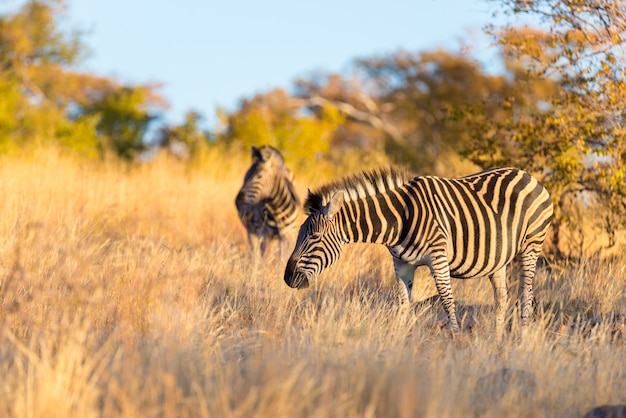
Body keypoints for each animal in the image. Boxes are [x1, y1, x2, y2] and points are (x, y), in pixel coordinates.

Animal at [282, 167, 552, 334]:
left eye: (314, 237)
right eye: (299, 234)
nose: (287, 278)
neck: (399, 218)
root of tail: (528, 175)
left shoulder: (438, 257)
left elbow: (447, 299)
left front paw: (455, 340)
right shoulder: (402, 264)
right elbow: (402, 303)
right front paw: (396, 341)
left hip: (531, 246)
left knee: (526, 295)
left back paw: (521, 340)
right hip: (499, 259)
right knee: (502, 298)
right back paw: (497, 342)